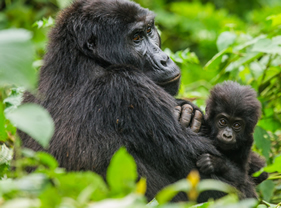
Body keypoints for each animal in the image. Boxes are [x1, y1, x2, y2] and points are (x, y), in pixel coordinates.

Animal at [18, 0, 222, 202]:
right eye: (136, 38)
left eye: (149, 30)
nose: (164, 59)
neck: (81, 58)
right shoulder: (128, 87)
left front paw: (189, 111)